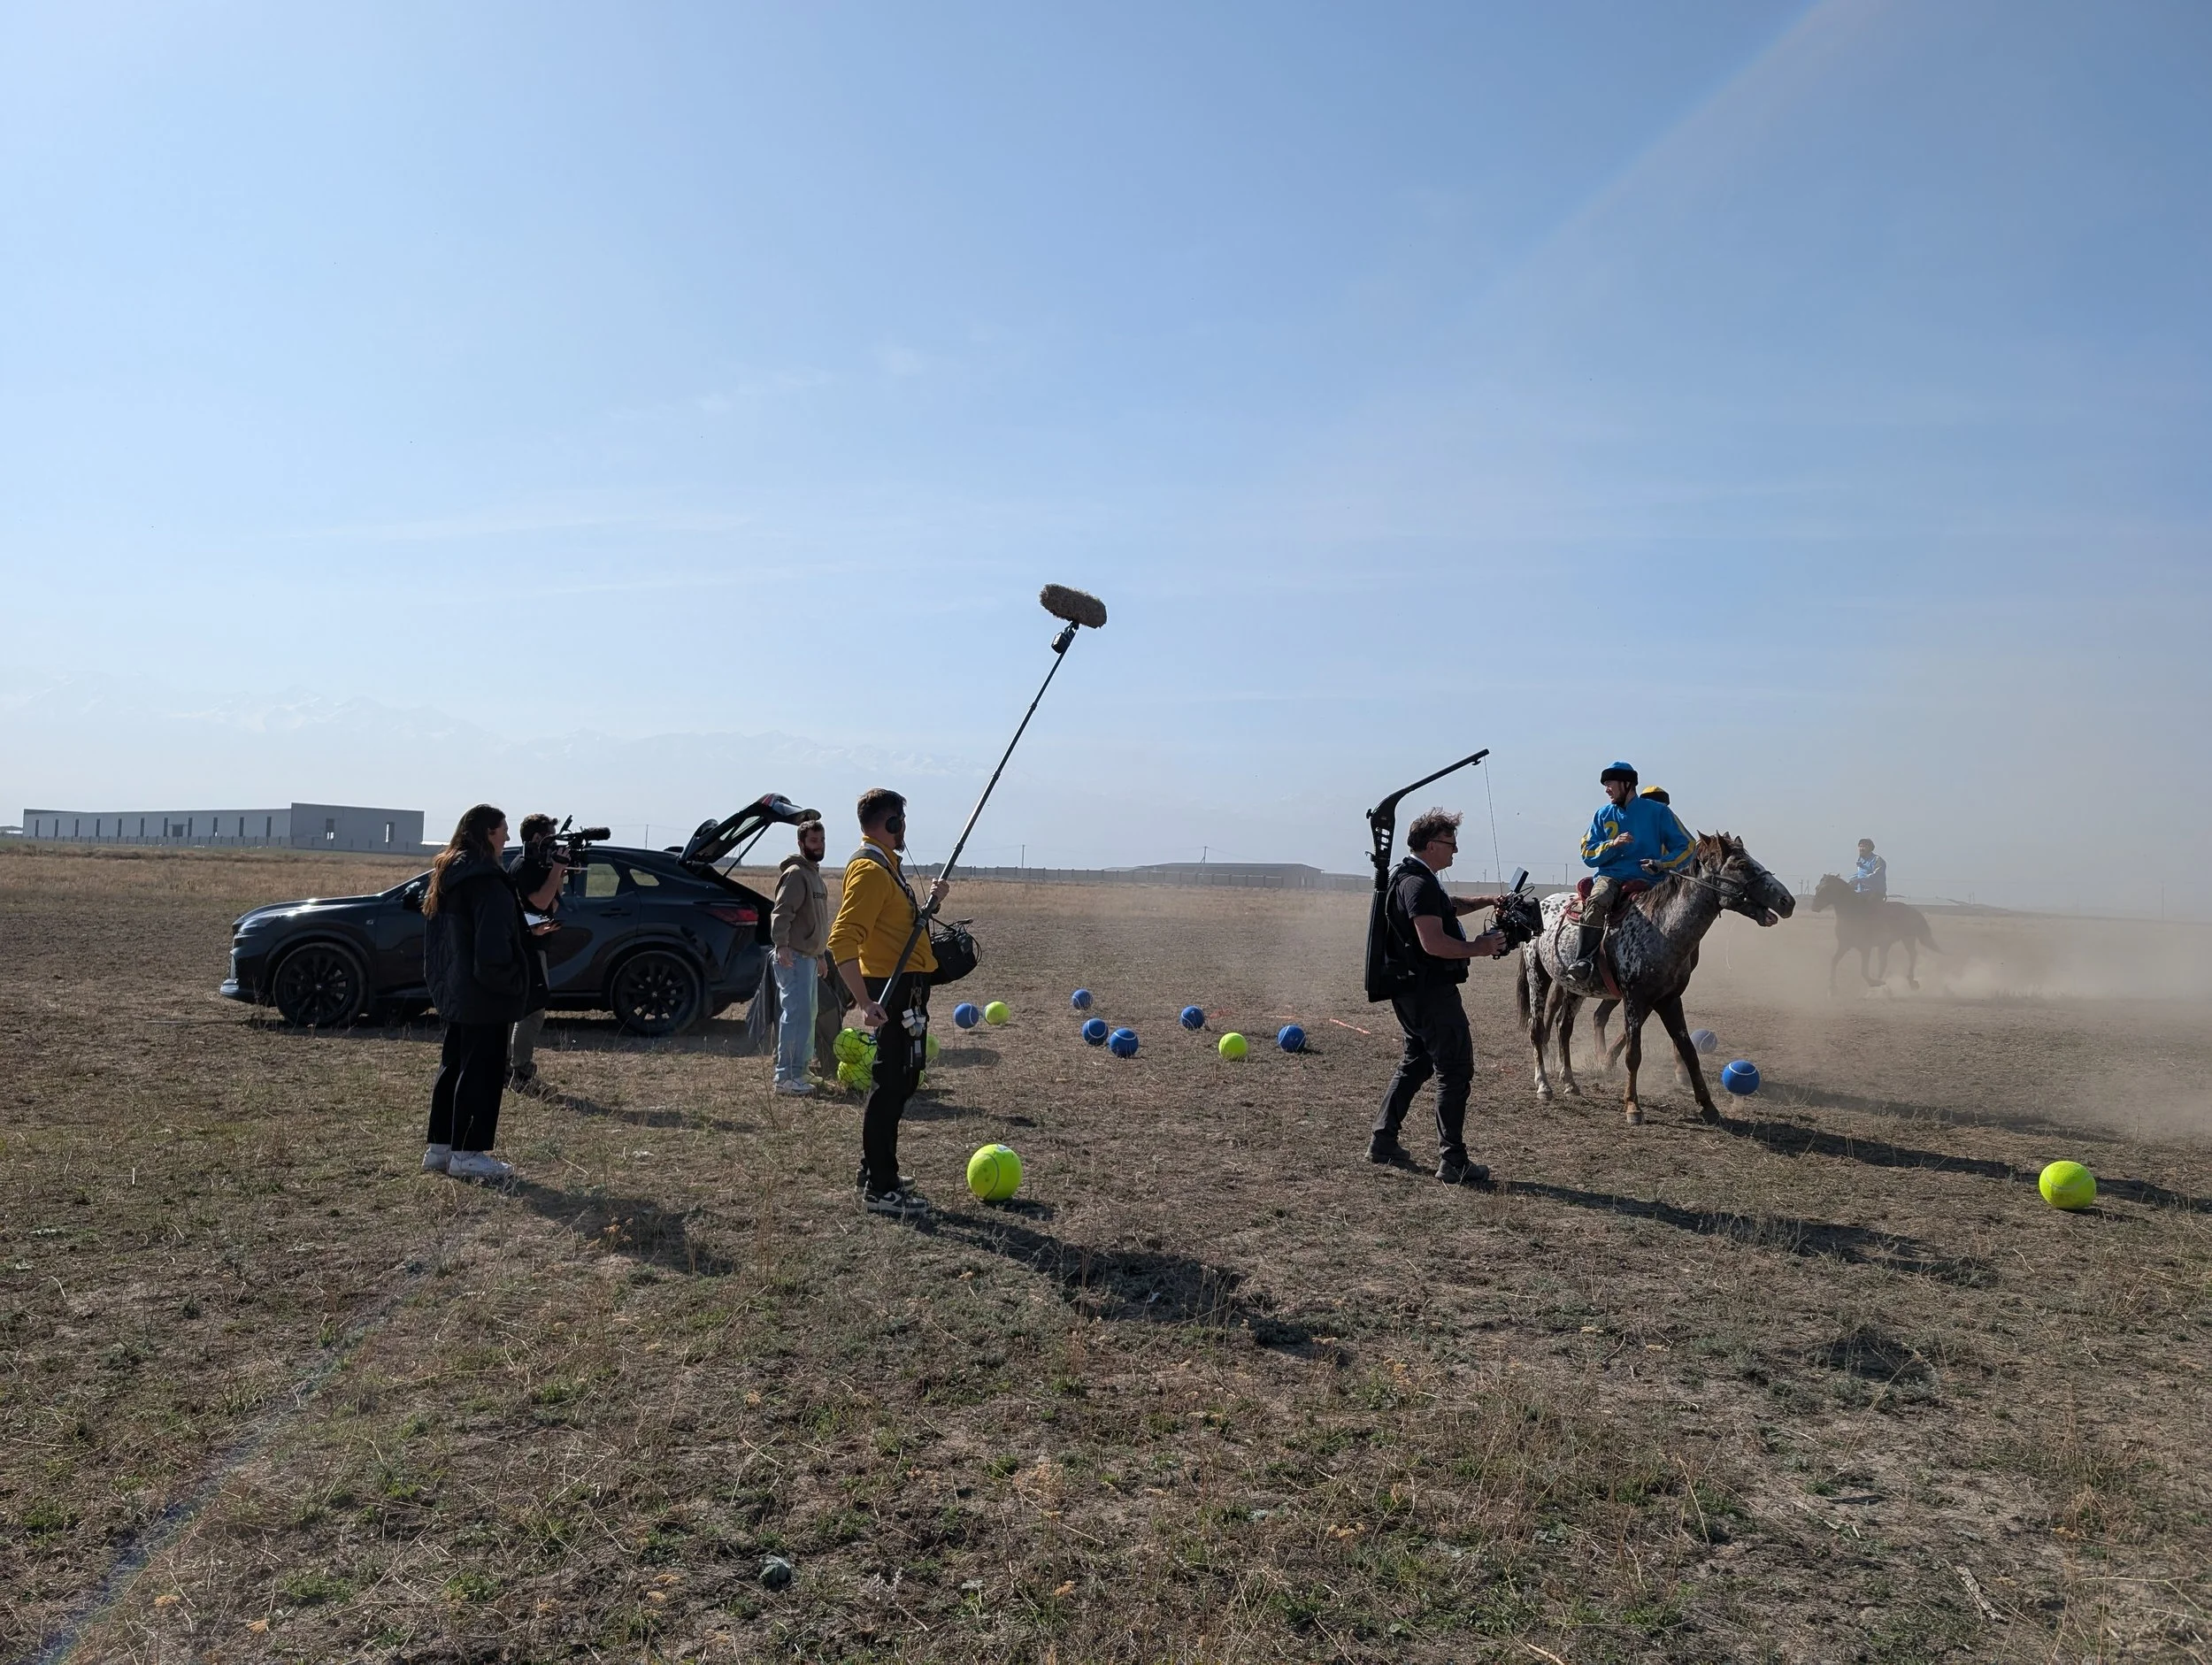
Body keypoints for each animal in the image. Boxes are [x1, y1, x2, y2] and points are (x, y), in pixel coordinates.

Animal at [1516, 833, 1795, 1124]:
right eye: (1741, 865)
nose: (1787, 901)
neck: (1661, 927)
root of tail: (1542, 903)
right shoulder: (1634, 999)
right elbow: (1633, 1054)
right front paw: (1632, 1106)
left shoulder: (1668, 1000)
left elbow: (1688, 1050)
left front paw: (1708, 1106)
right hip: (1538, 976)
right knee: (1537, 1029)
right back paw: (1544, 1085)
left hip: (1574, 987)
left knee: (1564, 1027)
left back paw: (1570, 1083)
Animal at [1809, 874, 1941, 993]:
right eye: (1817, 887)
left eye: (1827, 888)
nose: (1814, 907)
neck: (1852, 912)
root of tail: (1914, 911)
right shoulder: (1844, 945)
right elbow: (1834, 961)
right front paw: (1832, 987)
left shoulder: (1865, 948)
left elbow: (1863, 970)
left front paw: (1874, 983)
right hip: (1890, 943)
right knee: (1887, 961)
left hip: (1911, 939)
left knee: (1915, 954)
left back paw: (1910, 981)